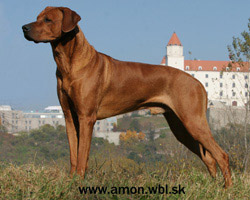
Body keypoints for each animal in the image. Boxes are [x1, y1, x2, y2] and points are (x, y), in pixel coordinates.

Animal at [22, 6, 233, 188]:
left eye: (48, 19)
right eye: (37, 17)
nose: (24, 27)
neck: (69, 64)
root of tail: (198, 83)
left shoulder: (86, 117)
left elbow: (82, 156)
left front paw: (80, 181)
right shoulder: (69, 117)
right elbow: (74, 155)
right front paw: (71, 180)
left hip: (193, 121)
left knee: (222, 155)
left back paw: (227, 188)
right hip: (180, 127)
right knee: (209, 158)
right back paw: (214, 187)